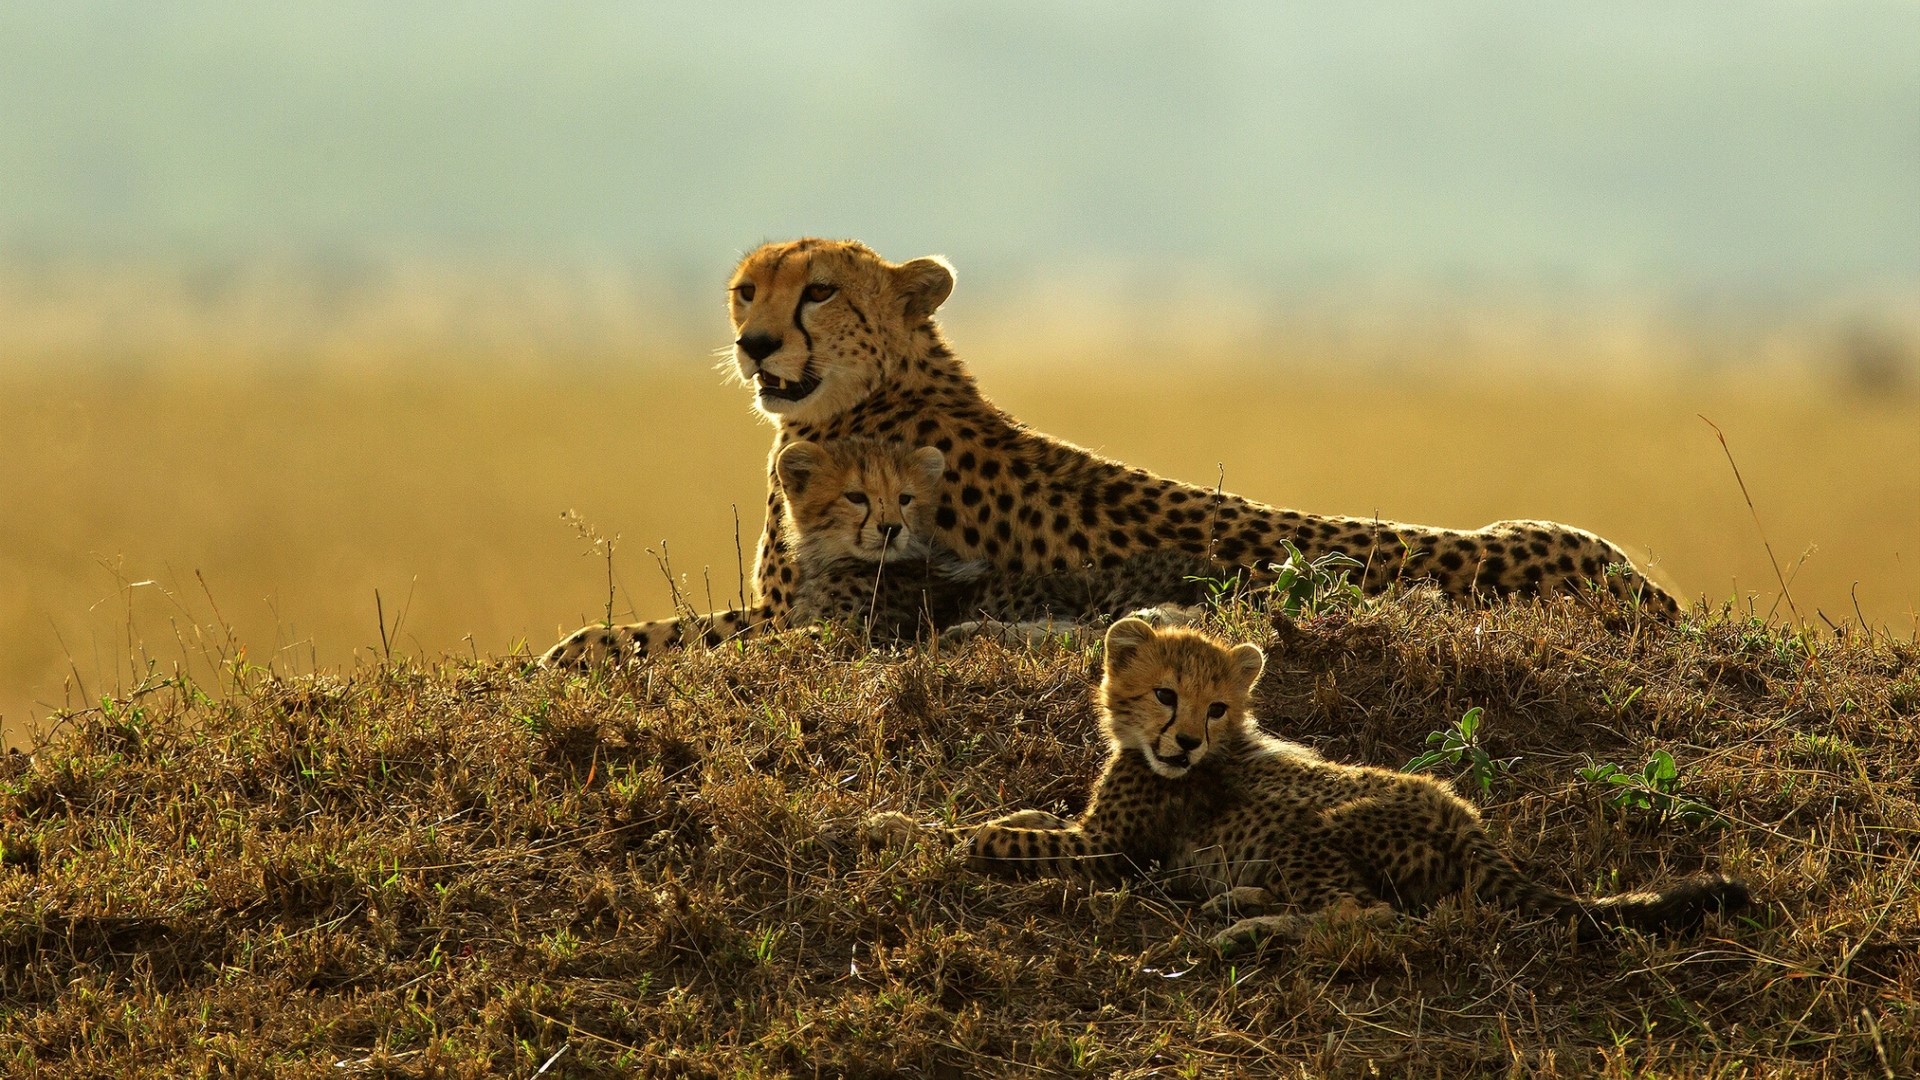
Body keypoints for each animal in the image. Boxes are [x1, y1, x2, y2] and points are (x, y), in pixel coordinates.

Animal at [868, 618, 1748, 952]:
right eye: (1166, 694)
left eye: (1216, 707)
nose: (1187, 742)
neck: (1145, 752)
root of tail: (1469, 822)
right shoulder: (1098, 827)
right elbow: (1026, 813)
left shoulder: (1110, 850)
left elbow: (1003, 837)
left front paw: (907, 829)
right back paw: (1238, 901)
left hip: (1313, 824)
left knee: (1374, 918)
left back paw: (1247, 930)